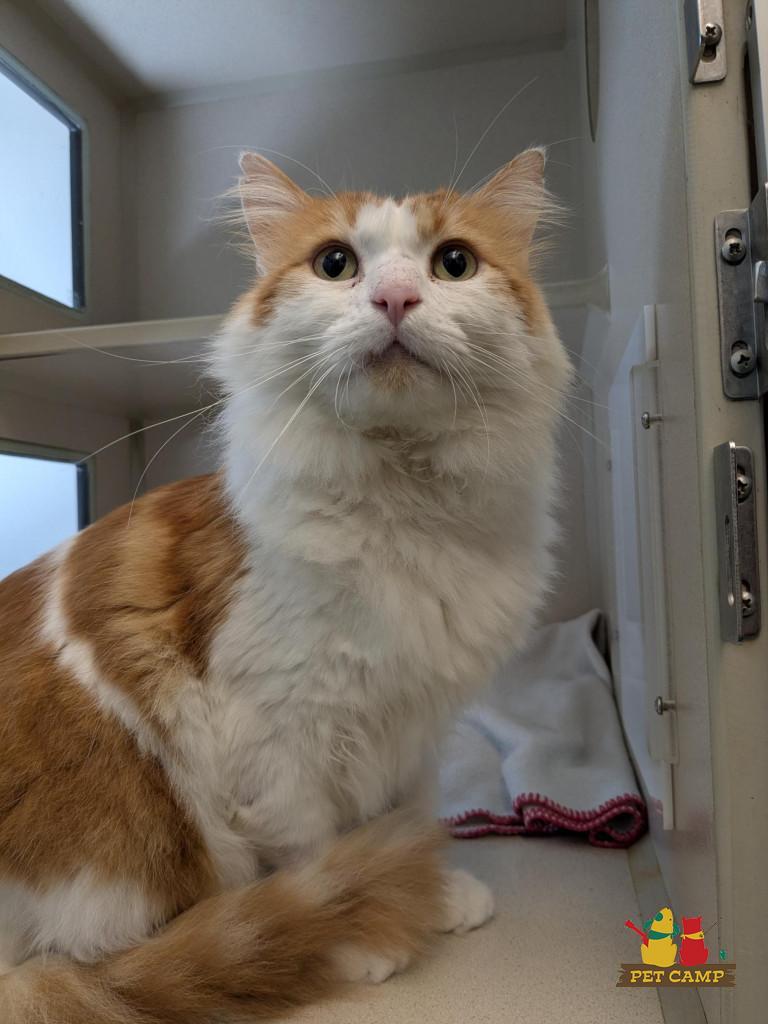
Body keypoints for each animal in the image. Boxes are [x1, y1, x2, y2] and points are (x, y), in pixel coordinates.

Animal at [0, 148, 570, 1022]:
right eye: (336, 264)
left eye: (454, 263)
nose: (395, 297)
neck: (403, 513)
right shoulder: (277, 732)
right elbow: (315, 855)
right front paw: (355, 930)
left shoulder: (414, 721)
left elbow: (403, 813)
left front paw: (431, 892)